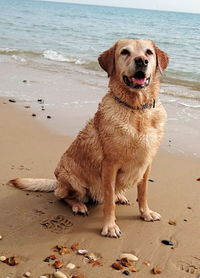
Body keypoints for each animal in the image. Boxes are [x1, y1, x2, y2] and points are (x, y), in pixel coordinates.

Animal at [9, 39, 169, 238]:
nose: (141, 61)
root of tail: (57, 181)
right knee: (62, 196)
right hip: (72, 180)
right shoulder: (109, 166)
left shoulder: (146, 164)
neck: (137, 109)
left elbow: (143, 192)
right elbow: (108, 201)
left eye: (149, 52)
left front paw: (146, 213)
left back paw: (119, 196)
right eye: (125, 52)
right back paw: (78, 205)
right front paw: (110, 226)